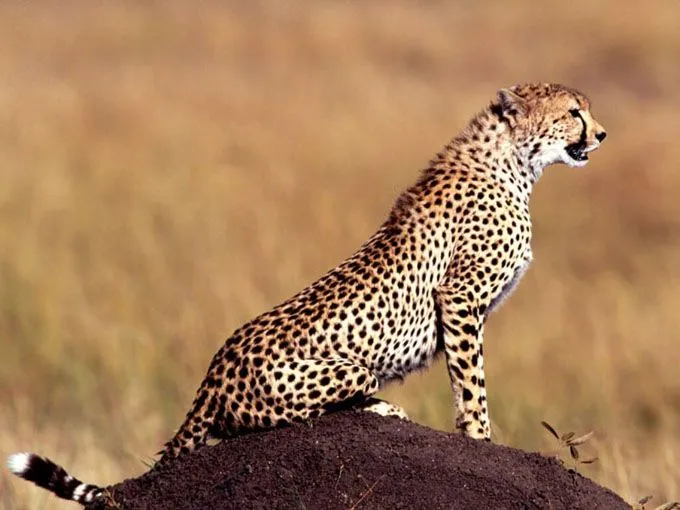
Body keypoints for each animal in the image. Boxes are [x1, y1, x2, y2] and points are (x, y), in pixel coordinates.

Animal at [8, 82, 606, 506]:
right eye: (573, 112)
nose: (601, 135)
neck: (514, 162)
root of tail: (212, 373)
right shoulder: (458, 298)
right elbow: (472, 383)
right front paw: (483, 441)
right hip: (342, 373)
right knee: (280, 418)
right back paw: (383, 408)